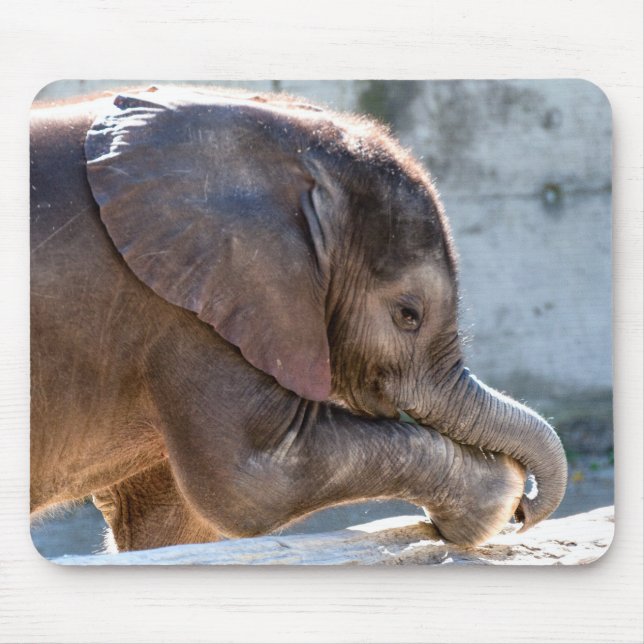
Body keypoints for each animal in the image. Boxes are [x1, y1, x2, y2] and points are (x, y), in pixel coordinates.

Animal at [30, 85, 567, 553]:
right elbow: (254, 482)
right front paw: (497, 495)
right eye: (408, 315)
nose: (527, 511)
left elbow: (171, 520)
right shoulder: (188, 308)